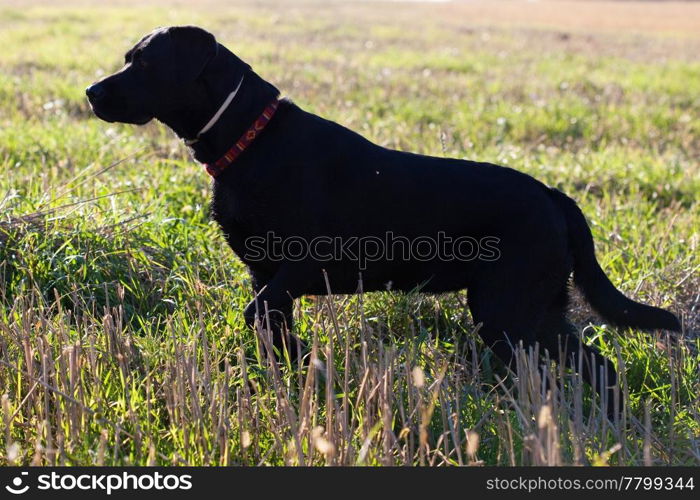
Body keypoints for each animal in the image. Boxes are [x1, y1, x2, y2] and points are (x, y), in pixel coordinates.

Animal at [86, 26, 680, 418]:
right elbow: (272, 330)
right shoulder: (266, 276)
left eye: (144, 63)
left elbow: (258, 315)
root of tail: (553, 195)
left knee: (576, 367)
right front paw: (300, 378)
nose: (91, 92)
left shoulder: (301, 267)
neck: (248, 140)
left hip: (509, 311)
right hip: (533, 312)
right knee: (592, 365)